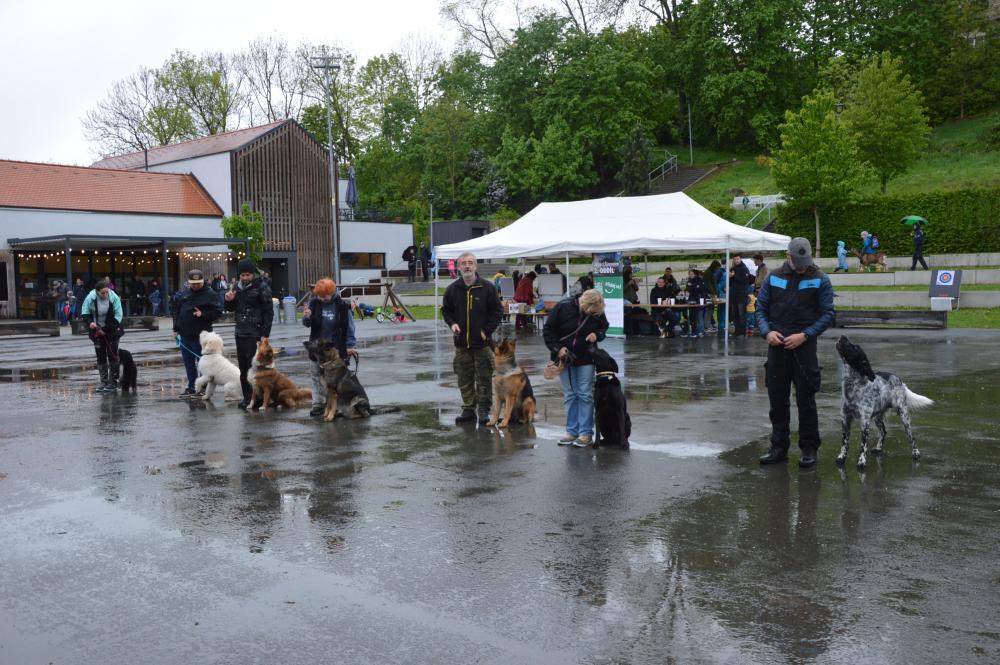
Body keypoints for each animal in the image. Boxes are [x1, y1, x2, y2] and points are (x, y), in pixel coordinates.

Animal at [835, 335, 933, 469]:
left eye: (855, 347)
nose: (843, 336)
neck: (853, 386)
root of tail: (900, 381)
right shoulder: (845, 419)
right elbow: (844, 443)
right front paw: (841, 457)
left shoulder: (864, 421)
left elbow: (863, 445)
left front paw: (862, 461)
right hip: (878, 417)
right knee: (884, 431)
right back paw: (878, 448)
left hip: (904, 415)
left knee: (911, 437)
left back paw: (916, 453)